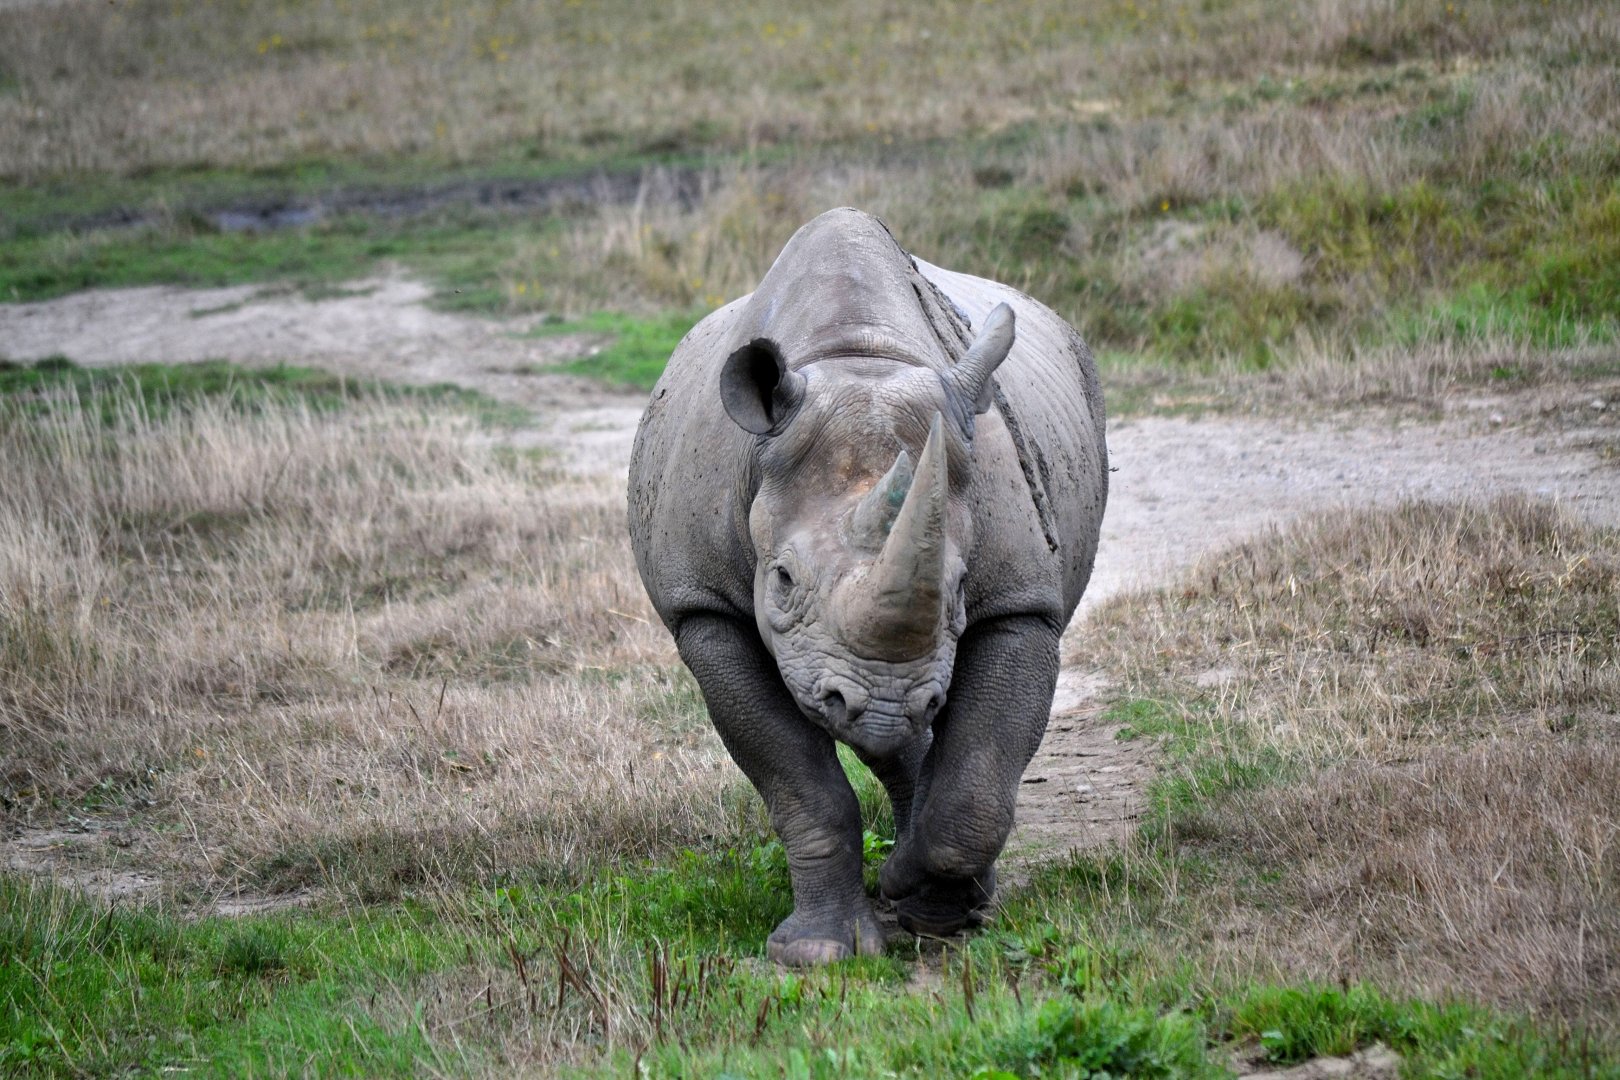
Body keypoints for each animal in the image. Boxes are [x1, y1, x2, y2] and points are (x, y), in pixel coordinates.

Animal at [628, 208, 1107, 965]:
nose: (881, 701)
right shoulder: (703, 610)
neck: (857, 360)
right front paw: (818, 954)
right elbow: (801, 785)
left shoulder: (1023, 603)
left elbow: (977, 785)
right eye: (783, 580)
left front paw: (930, 903)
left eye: (961, 588)